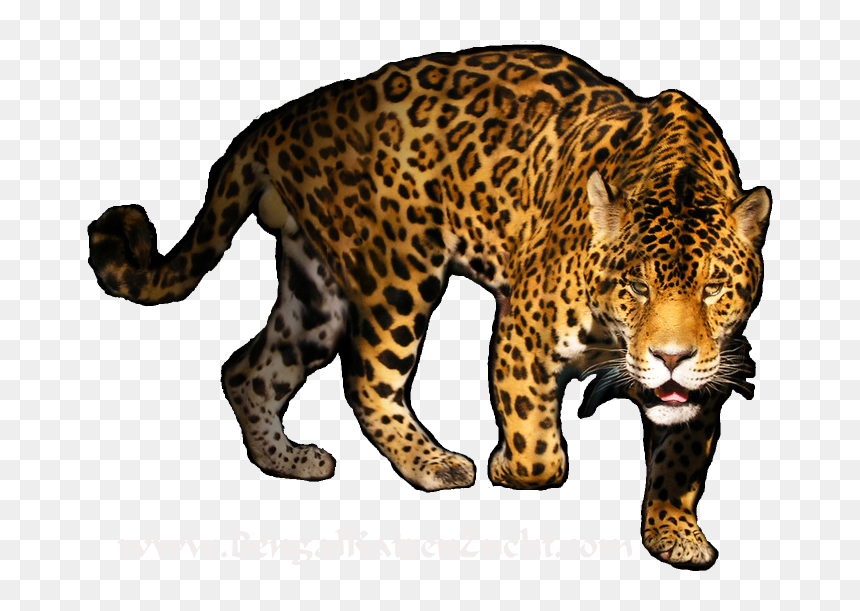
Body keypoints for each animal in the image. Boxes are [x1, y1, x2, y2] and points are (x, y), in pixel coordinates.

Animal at [88, 45, 770, 569]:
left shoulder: (711, 373)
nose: (671, 356)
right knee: (366, 379)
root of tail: (284, 117)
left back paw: (290, 461)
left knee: (248, 368)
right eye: (635, 287)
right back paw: (434, 463)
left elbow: (680, 459)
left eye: (713, 288)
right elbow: (540, 453)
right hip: (398, 274)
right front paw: (507, 466)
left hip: (315, 295)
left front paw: (674, 535)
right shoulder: (523, 331)